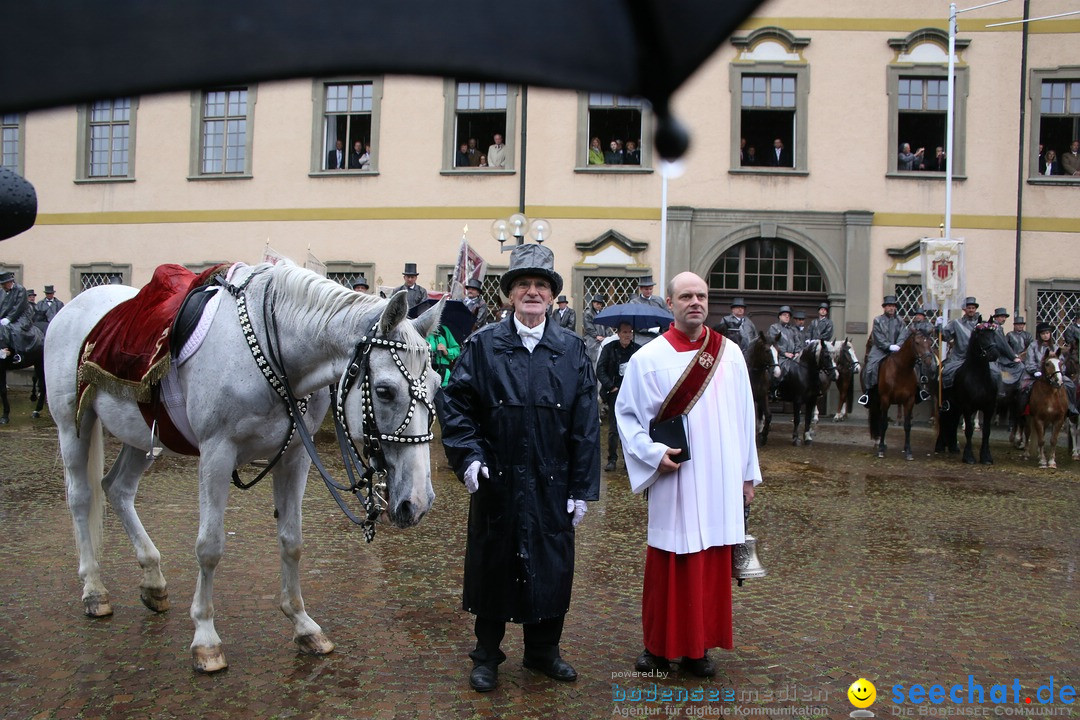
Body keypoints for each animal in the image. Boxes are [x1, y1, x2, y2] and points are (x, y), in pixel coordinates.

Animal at [46, 263, 442, 677]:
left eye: (436, 385)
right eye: (384, 391)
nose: (418, 501)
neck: (274, 352)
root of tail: (74, 307)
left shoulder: (295, 455)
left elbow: (292, 541)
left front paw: (302, 624)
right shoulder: (216, 454)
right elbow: (209, 547)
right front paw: (205, 637)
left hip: (140, 431)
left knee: (117, 489)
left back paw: (152, 580)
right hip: (73, 424)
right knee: (81, 497)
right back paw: (94, 589)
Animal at [868, 334, 937, 462]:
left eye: (930, 342)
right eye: (917, 342)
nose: (930, 362)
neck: (901, 369)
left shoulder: (909, 401)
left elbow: (907, 425)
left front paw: (908, 450)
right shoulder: (885, 399)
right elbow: (884, 424)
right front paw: (881, 450)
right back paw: (879, 442)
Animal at [933, 323, 997, 464]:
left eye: (993, 334)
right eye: (981, 335)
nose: (994, 354)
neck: (979, 378)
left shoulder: (989, 408)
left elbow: (987, 432)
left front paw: (986, 457)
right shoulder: (968, 407)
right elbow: (968, 431)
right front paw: (968, 456)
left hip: (956, 407)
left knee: (953, 422)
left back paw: (952, 446)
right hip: (946, 405)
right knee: (943, 420)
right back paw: (940, 445)